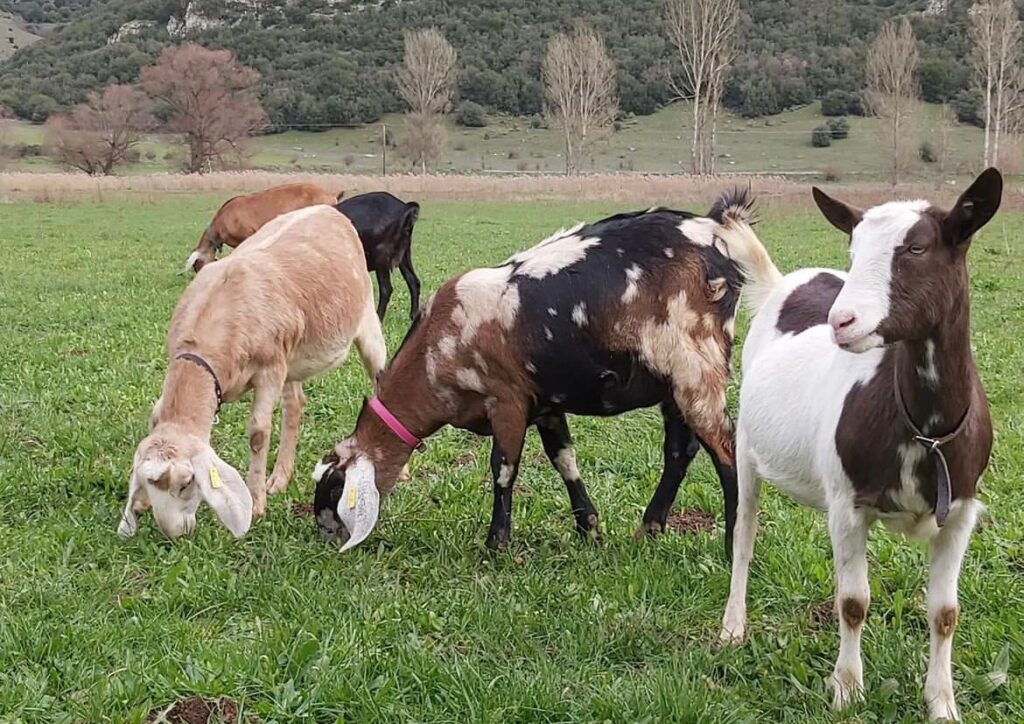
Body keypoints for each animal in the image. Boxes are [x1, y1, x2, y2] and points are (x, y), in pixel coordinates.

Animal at [121, 203, 385, 536]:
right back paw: (280, 478)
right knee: (295, 405)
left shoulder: (270, 370)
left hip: (365, 321)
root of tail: (327, 208)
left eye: (186, 483)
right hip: (291, 358)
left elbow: (258, 432)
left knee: (380, 375)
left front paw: (256, 502)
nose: (175, 533)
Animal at [720, 168, 999, 720]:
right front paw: (847, 690)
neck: (925, 428)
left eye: (917, 248)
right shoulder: (850, 505)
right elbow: (854, 603)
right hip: (746, 448)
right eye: (853, 250)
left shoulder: (961, 511)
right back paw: (733, 626)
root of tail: (782, 283)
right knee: (744, 533)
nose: (841, 321)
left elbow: (945, 611)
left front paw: (942, 703)